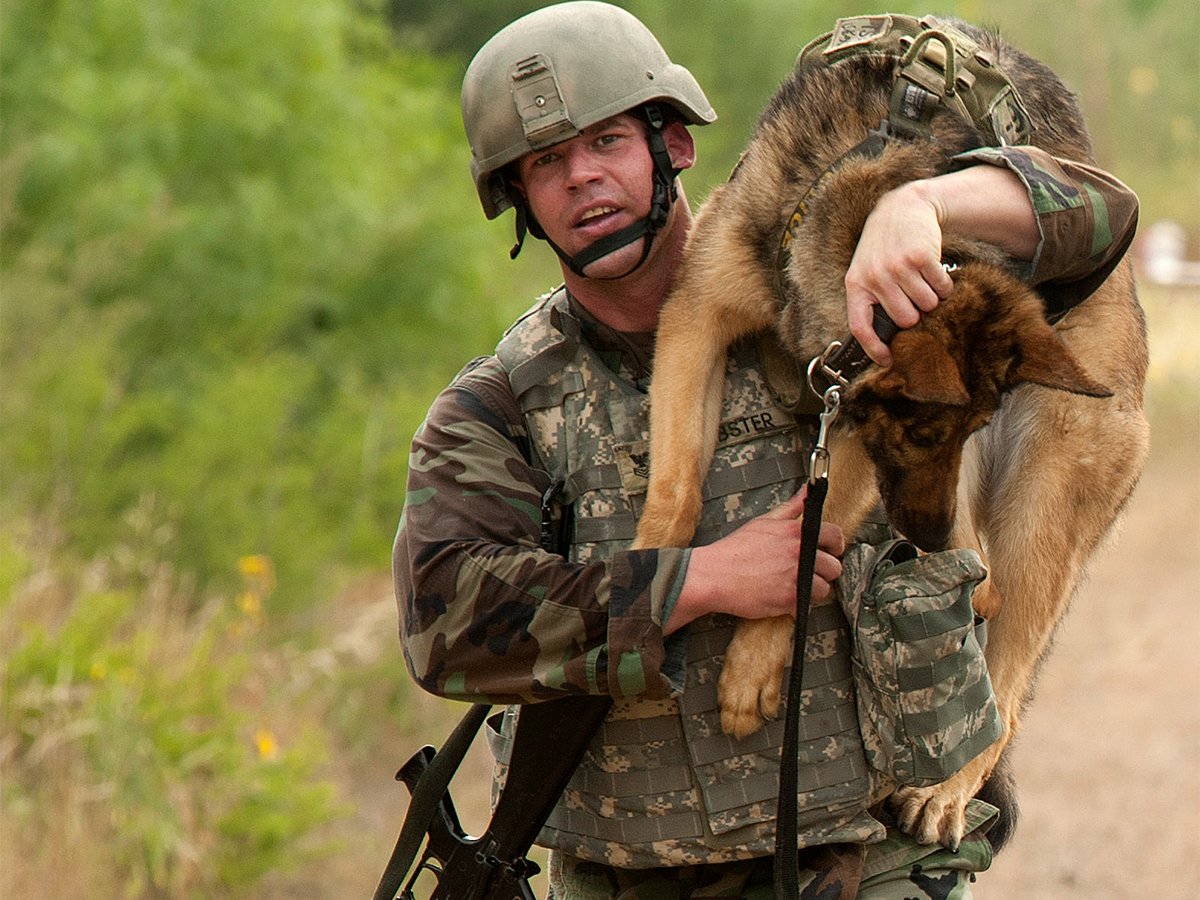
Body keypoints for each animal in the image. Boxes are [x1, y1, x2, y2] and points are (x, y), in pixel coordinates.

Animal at [633, 17, 1147, 854]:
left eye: (960, 426)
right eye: (928, 429)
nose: (929, 537)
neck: (847, 184)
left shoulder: (845, 427)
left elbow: (809, 539)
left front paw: (752, 664)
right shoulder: (695, 321)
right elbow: (677, 489)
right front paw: (645, 571)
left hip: (1039, 515)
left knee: (1006, 675)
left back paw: (946, 789)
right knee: (987, 596)